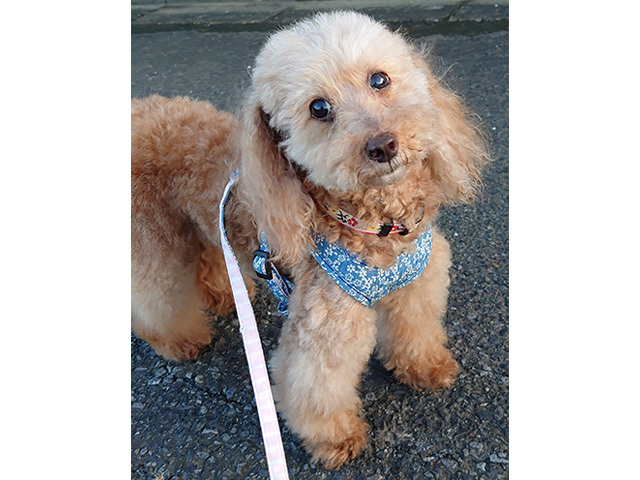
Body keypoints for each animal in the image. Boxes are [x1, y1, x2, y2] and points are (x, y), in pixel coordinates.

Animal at [132, 11, 488, 468]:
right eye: (319, 108)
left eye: (379, 80)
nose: (383, 145)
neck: (377, 226)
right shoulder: (325, 323)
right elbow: (316, 385)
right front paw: (337, 440)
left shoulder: (417, 284)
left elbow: (416, 330)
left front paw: (426, 368)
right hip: (152, 238)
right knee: (156, 296)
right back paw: (179, 340)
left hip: (204, 220)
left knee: (209, 255)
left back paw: (226, 297)